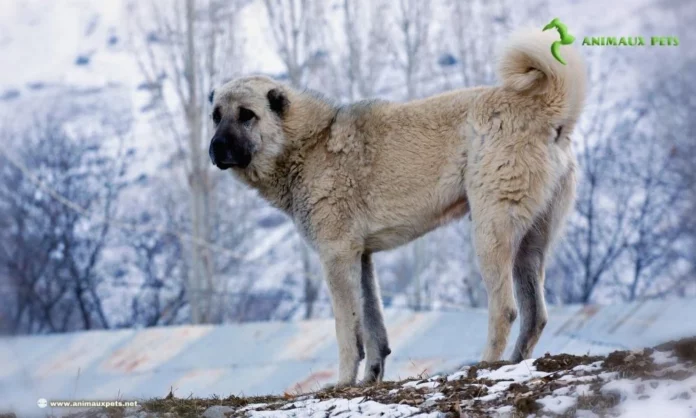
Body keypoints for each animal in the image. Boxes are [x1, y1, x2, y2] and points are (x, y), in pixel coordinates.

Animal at [208, 29, 588, 386]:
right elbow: (373, 328)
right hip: (530, 245)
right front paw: (369, 379)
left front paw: (343, 381)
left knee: (506, 310)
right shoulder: (361, 257)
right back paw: (514, 364)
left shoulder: (336, 256)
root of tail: (545, 110)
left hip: (490, 232)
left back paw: (484, 365)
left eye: (247, 115)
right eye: (215, 116)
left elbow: (348, 332)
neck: (309, 144)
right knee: (535, 314)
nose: (215, 148)